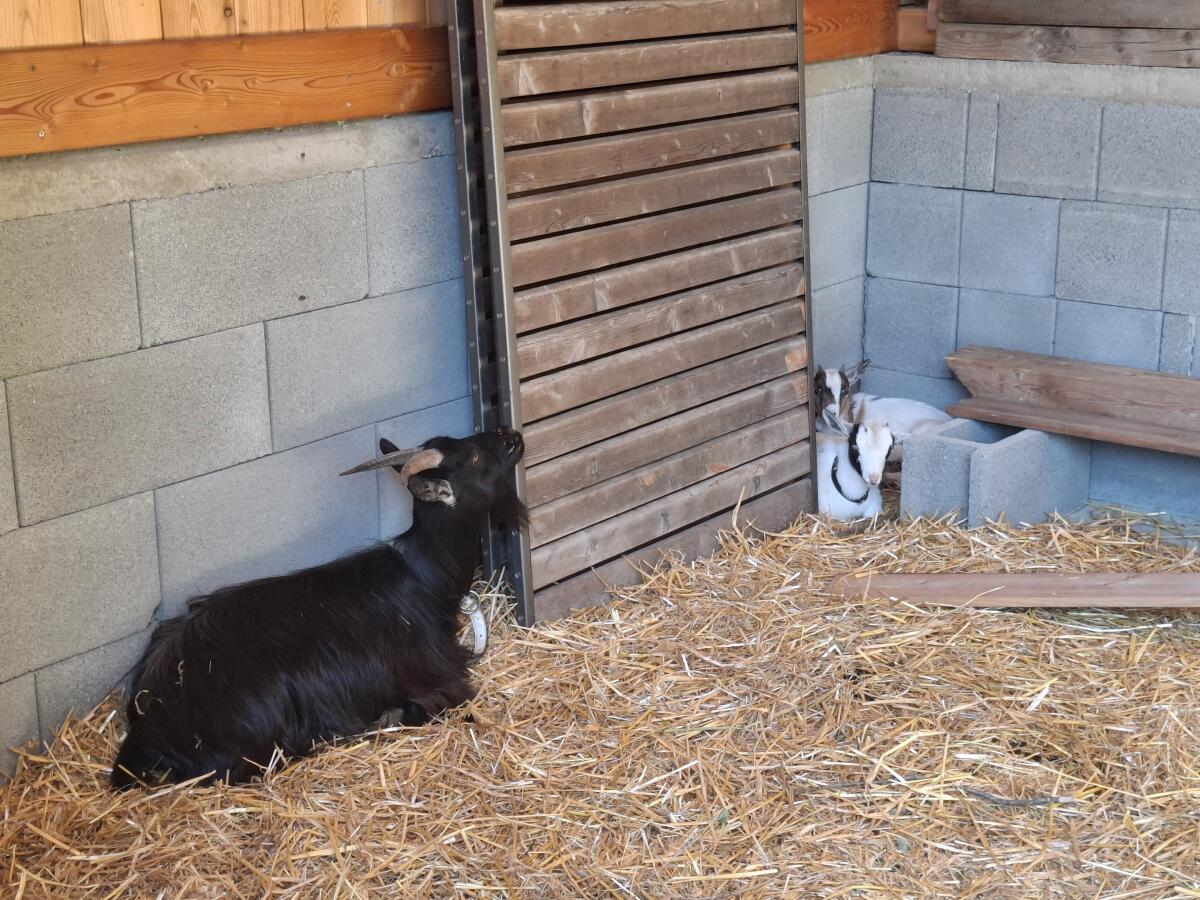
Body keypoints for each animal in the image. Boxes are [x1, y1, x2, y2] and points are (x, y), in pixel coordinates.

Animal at [111, 429, 526, 788]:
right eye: (474, 457)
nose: (512, 436)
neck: (424, 574)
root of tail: (150, 723)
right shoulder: (442, 680)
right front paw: (390, 715)